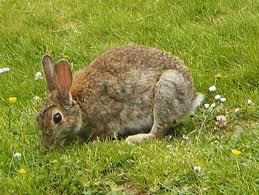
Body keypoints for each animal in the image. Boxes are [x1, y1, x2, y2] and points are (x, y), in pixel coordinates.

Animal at [36, 44, 204, 148]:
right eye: (38, 119)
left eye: (57, 118)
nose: (47, 145)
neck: (80, 105)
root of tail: (191, 99)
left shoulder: (109, 118)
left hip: (165, 89)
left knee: (159, 131)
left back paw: (135, 139)